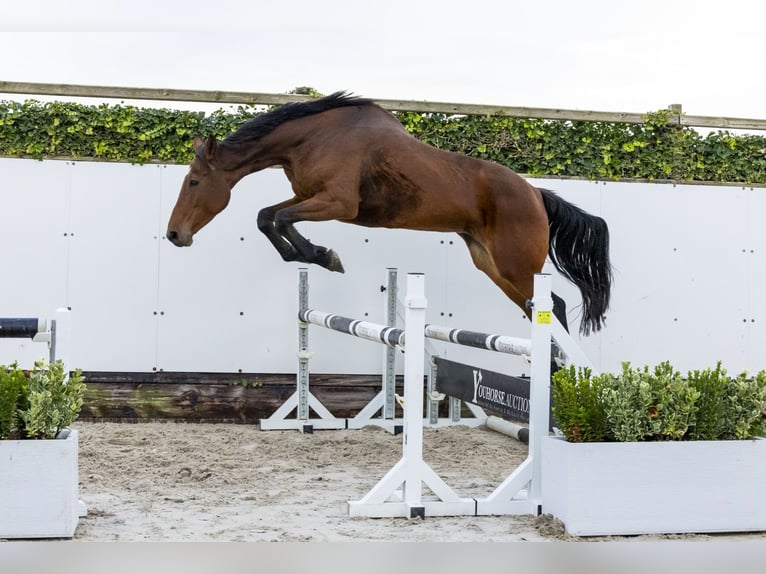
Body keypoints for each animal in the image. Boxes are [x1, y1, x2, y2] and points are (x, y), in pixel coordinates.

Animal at [166, 91, 612, 336]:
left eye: (194, 182)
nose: (174, 235)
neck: (311, 138)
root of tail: (536, 193)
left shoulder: (337, 204)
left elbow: (279, 219)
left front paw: (324, 256)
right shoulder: (308, 197)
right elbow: (267, 216)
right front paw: (315, 255)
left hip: (516, 266)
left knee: (553, 307)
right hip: (492, 265)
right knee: (540, 308)